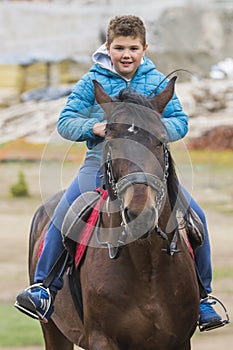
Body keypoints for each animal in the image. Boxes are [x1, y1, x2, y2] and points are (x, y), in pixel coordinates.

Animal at [27, 78, 198, 348]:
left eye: (161, 140)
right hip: (52, 329)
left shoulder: (180, 340)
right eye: (109, 141)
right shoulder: (102, 339)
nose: (139, 212)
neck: (147, 268)